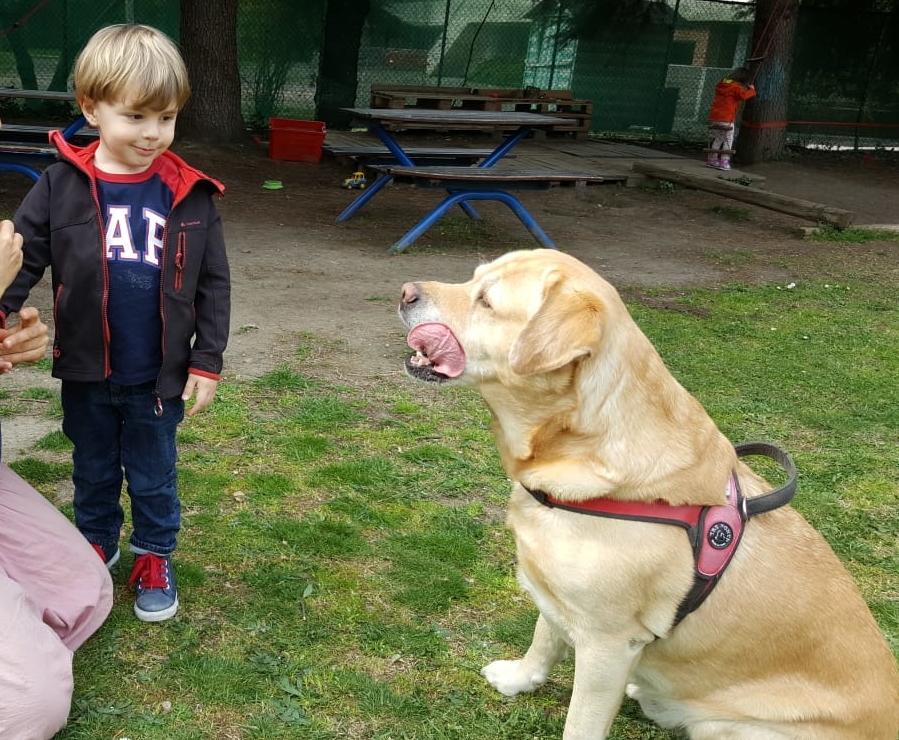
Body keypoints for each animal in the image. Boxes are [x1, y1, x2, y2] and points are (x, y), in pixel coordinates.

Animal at [398, 249, 899, 740]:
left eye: (486, 300)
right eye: (473, 277)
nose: (404, 291)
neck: (582, 448)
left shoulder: (608, 643)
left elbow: (580, 722)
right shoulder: (557, 596)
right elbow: (544, 638)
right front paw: (521, 678)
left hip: (733, 728)